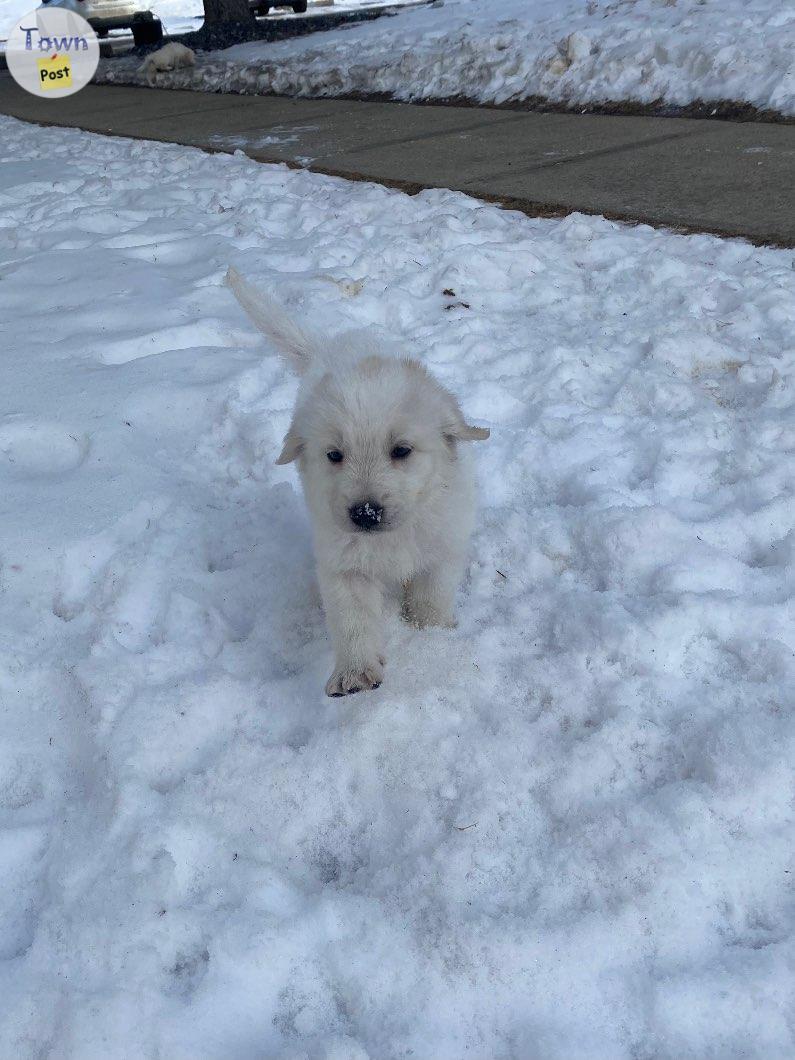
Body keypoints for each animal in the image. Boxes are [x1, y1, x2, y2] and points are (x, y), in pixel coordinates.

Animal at [222, 265, 485, 695]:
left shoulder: (443, 545)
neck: (393, 535)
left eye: (401, 450)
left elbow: (432, 594)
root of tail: (329, 346)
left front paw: (431, 635)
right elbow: (353, 619)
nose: (365, 513)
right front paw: (355, 672)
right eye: (334, 455)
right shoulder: (343, 564)